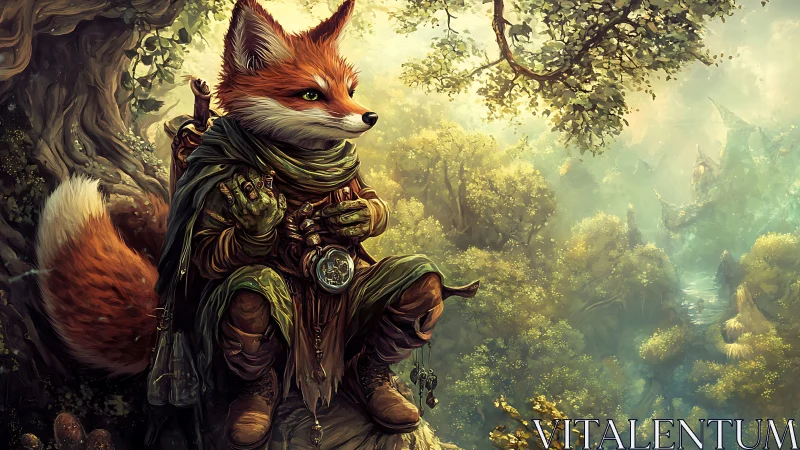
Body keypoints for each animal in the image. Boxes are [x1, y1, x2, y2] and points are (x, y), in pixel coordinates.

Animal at [36, 0, 373, 377]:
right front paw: (258, 222)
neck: (299, 163)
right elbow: (208, 250)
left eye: (349, 92)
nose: (371, 117)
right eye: (313, 94)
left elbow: (369, 201)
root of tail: (166, 316)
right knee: (249, 292)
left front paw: (360, 216)